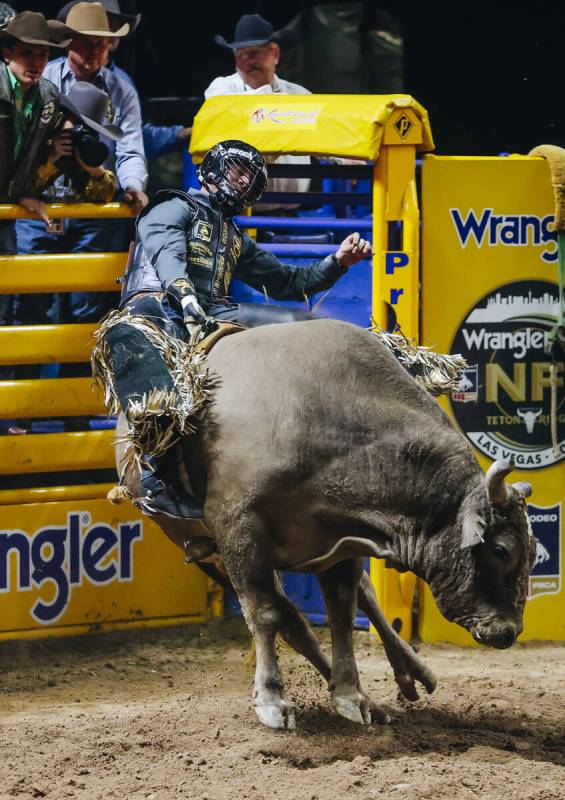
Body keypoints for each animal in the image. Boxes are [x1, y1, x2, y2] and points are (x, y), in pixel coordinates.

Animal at [113, 316, 532, 728]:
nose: (509, 631)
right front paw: (273, 700)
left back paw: (409, 672)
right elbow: (266, 613)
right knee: (291, 620)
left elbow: (342, 611)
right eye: (501, 550)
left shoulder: (342, 538)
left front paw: (350, 695)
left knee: (361, 597)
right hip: (205, 551)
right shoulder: (238, 533)